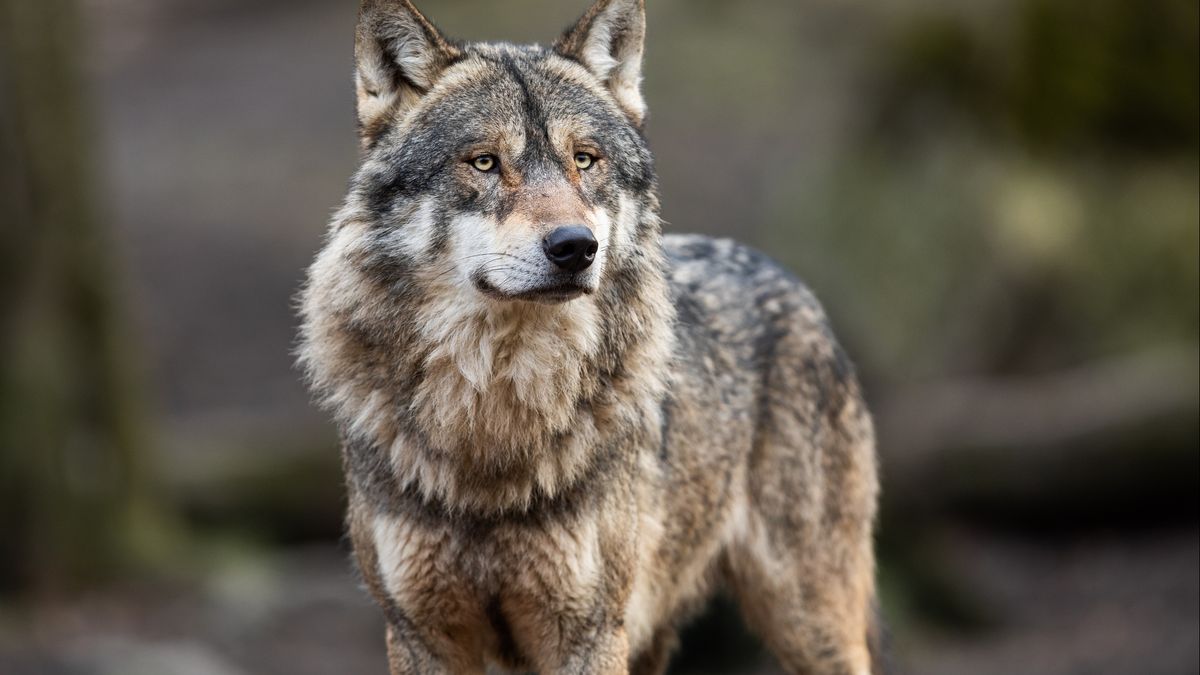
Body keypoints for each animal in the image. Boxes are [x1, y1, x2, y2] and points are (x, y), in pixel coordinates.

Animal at [297, 0, 880, 672]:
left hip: (808, 624)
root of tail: (783, 274)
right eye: (484, 161)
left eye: (584, 159)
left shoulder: (589, 631)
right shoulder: (419, 634)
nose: (576, 247)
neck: (493, 422)